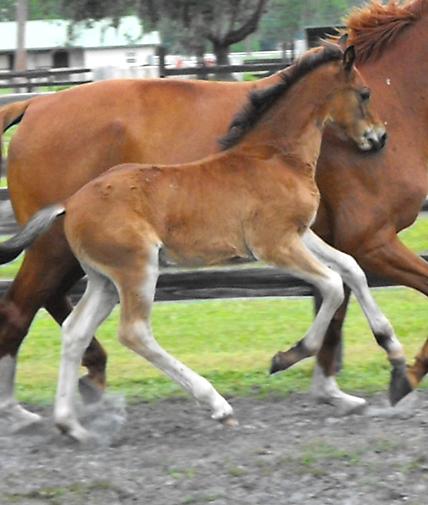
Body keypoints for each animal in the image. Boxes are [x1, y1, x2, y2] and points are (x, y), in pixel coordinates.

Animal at [0, 0, 424, 426]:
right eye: (366, 94)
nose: (379, 138)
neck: (273, 154)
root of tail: (34, 103)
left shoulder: (309, 233)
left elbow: (347, 276)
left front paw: (377, 359)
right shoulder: (321, 241)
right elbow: (341, 286)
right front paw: (306, 361)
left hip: (97, 272)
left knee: (70, 322)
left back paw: (78, 407)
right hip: (99, 261)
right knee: (49, 315)